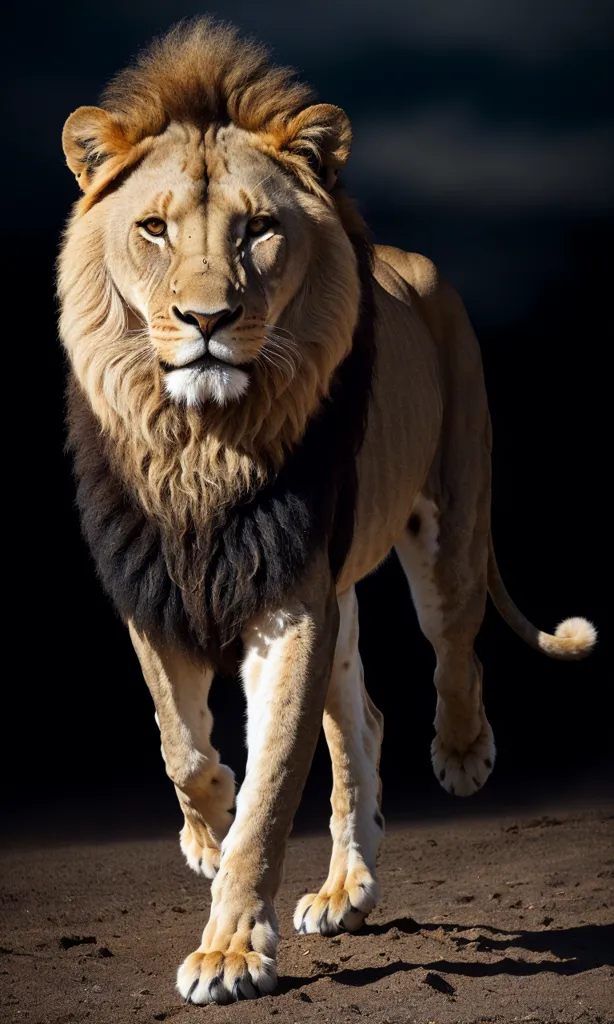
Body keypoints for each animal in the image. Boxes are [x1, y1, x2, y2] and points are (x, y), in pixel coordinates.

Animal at [57, 18, 593, 1007]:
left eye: (260, 229)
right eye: (152, 228)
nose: (206, 319)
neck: (203, 441)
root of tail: (408, 261)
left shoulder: (291, 606)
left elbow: (273, 787)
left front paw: (230, 950)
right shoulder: (151, 582)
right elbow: (180, 742)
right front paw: (206, 829)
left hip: (448, 531)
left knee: (454, 651)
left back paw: (463, 755)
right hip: (341, 592)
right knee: (364, 723)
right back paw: (346, 888)